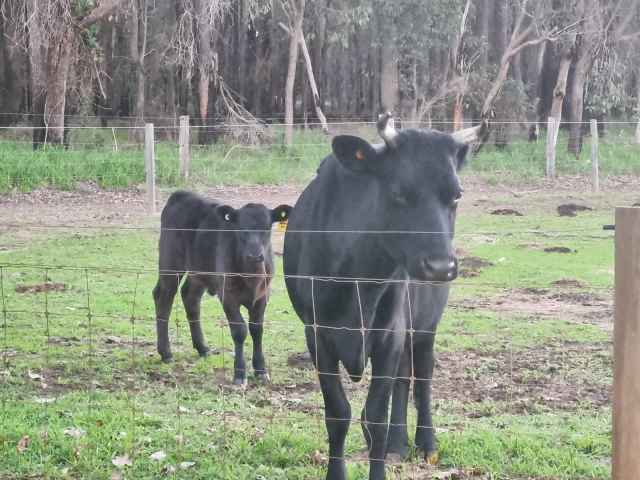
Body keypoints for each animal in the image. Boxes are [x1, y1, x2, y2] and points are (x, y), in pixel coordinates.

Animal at [151, 189, 292, 384]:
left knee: (190, 298)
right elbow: (240, 330)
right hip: (170, 264)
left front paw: (260, 370)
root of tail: (181, 195)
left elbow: (257, 329)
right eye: (241, 229)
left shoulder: (263, 296)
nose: (255, 255)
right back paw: (166, 352)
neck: (251, 276)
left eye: (266, 228)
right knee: (163, 298)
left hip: (199, 272)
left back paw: (202, 347)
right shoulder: (227, 295)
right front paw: (239, 373)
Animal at [282, 114, 482, 478]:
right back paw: (397, 444)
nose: (440, 266)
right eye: (398, 192)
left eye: (457, 195)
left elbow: (376, 416)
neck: (359, 277)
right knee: (403, 378)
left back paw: (425, 444)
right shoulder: (318, 336)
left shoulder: (390, 334)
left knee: (422, 374)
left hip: (425, 323)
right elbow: (338, 414)